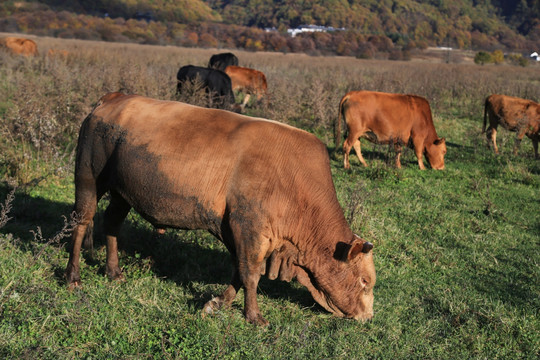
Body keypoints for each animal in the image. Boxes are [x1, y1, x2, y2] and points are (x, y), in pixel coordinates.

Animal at [66, 92, 376, 326]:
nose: (368, 316)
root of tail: (114, 97)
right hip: (88, 178)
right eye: (364, 281)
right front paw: (254, 317)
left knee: (111, 223)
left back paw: (113, 271)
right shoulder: (248, 228)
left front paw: (218, 302)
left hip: (122, 193)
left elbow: (239, 271)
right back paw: (73, 277)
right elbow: (250, 274)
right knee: (80, 223)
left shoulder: (234, 231)